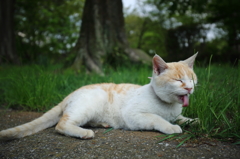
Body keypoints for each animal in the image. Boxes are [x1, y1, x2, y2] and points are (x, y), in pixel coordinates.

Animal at [0, 53, 199, 139]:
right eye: (178, 80)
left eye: (192, 79)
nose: (190, 88)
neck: (169, 107)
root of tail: (69, 95)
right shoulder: (133, 115)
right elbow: (157, 119)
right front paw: (170, 126)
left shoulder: (176, 114)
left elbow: (183, 118)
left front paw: (193, 120)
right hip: (88, 105)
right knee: (61, 125)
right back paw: (84, 132)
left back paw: (101, 124)